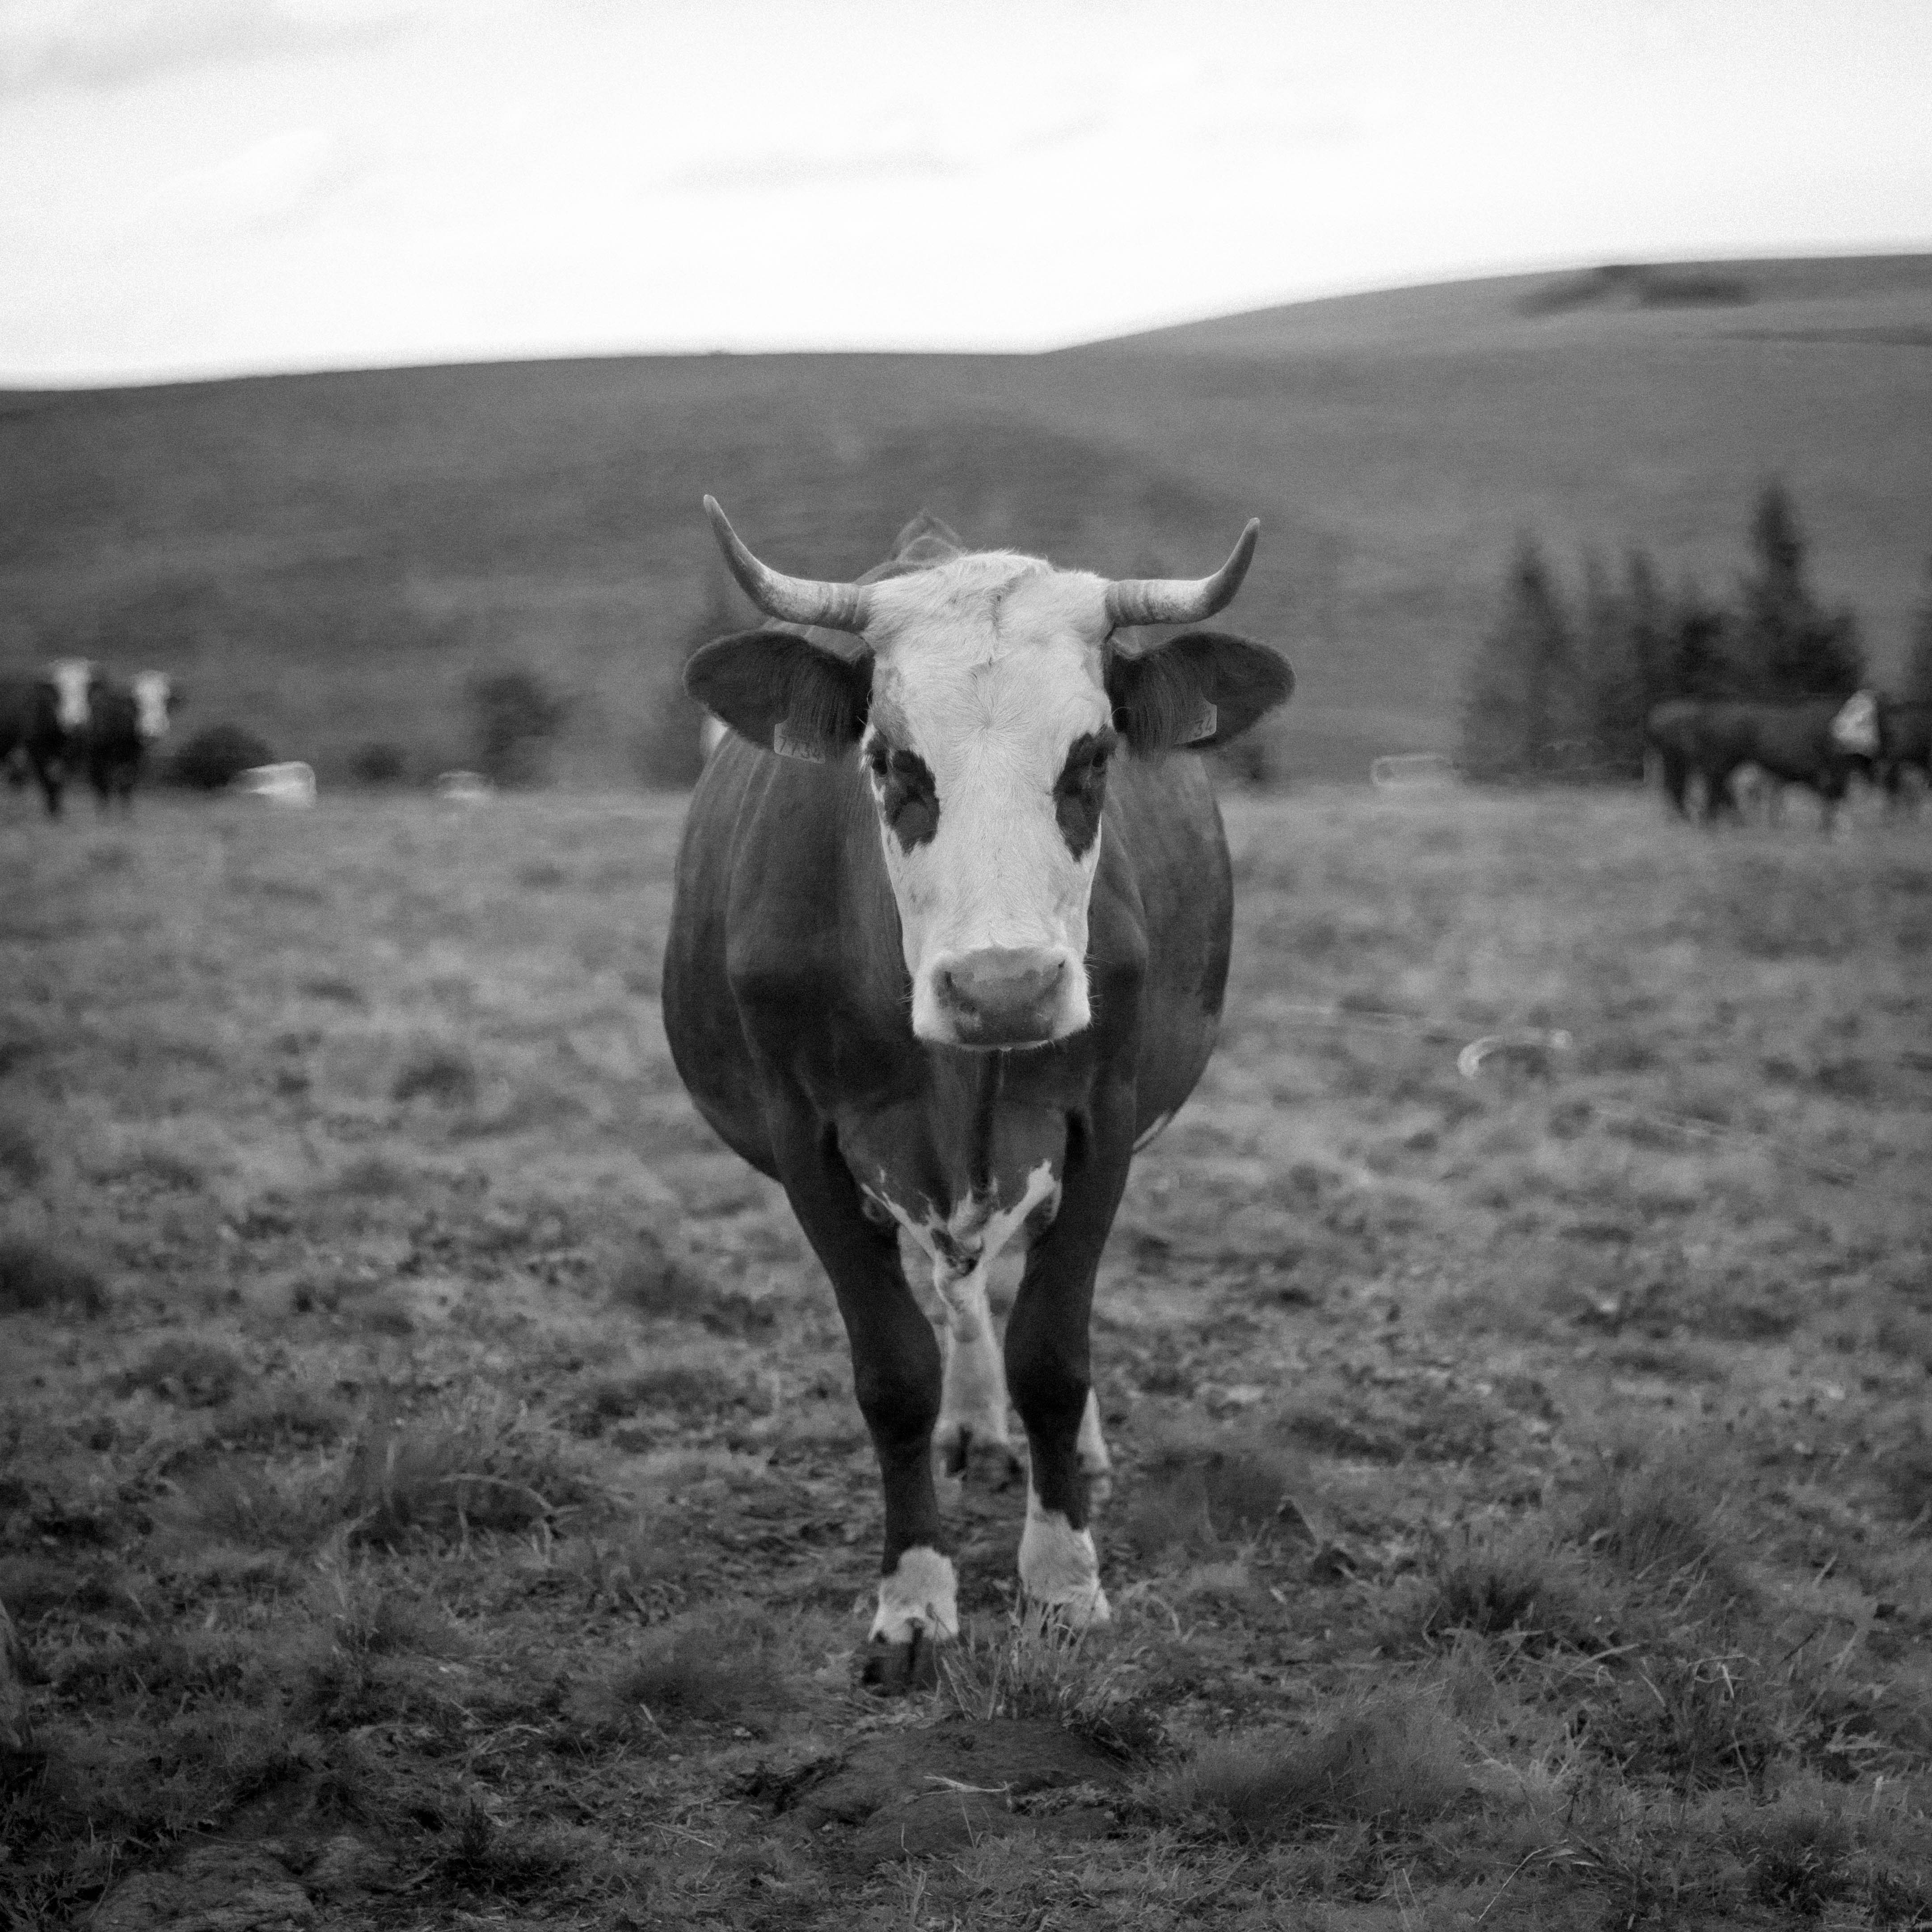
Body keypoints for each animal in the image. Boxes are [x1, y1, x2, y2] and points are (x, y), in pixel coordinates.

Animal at [657, 502, 1291, 1692]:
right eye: (890, 760)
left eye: (1091, 756)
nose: (1004, 986)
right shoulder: (808, 1147)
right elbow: (893, 1372)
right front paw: (913, 1600)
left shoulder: (1102, 1126)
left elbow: (1053, 1352)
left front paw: (1063, 1581)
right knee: (952, 1291)